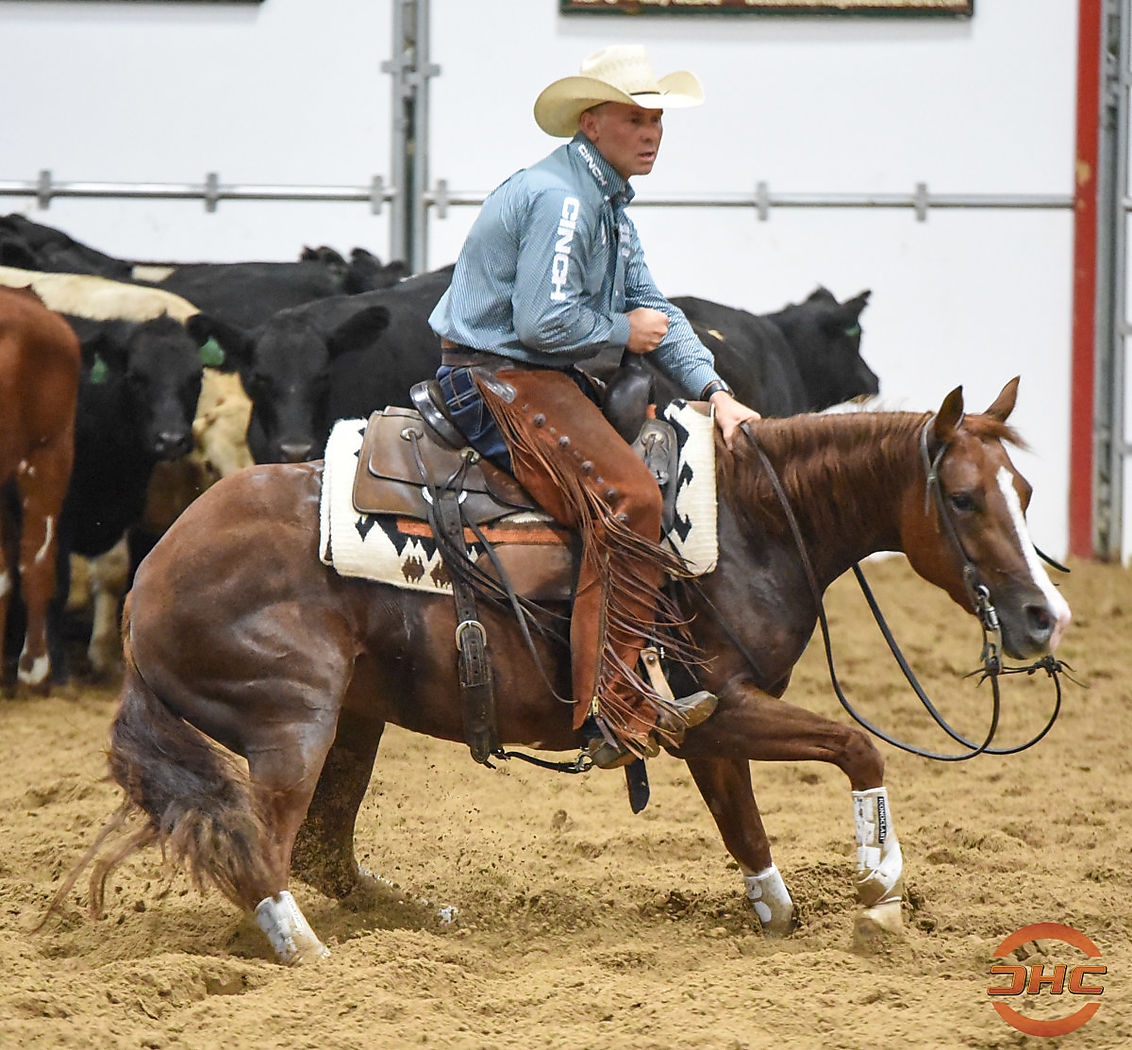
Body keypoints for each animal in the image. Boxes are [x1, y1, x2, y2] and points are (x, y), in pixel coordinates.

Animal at [55, 377, 1071, 964]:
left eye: (1024, 492)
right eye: (965, 498)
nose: (1042, 616)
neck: (748, 523)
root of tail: (150, 577)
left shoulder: (709, 726)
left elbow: (748, 834)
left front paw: (784, 912)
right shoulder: (719, 707)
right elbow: (858, 747)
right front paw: (879, 889)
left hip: (352, 719)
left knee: (320, 846)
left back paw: (411, 921)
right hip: (290, 723)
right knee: (256, 847)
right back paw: (304, 948)